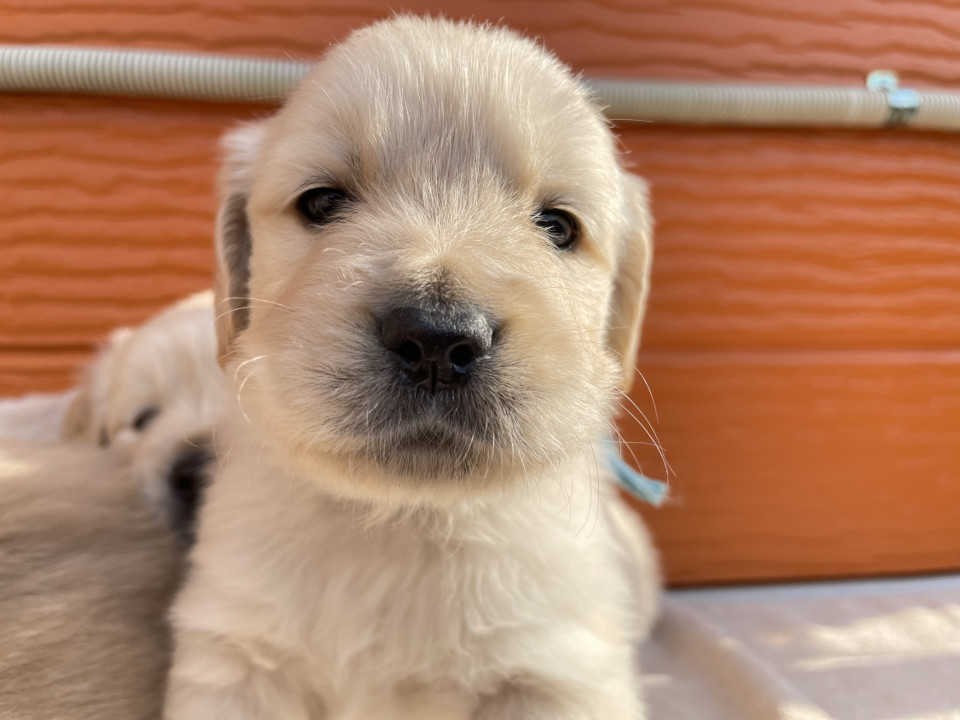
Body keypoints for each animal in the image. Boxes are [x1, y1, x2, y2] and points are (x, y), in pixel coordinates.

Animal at [166, 17, 657, 719]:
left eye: (558, 226)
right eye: (321, 202)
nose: (437, 340)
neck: (405, 518)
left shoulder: (556, 672)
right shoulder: (239, 652)